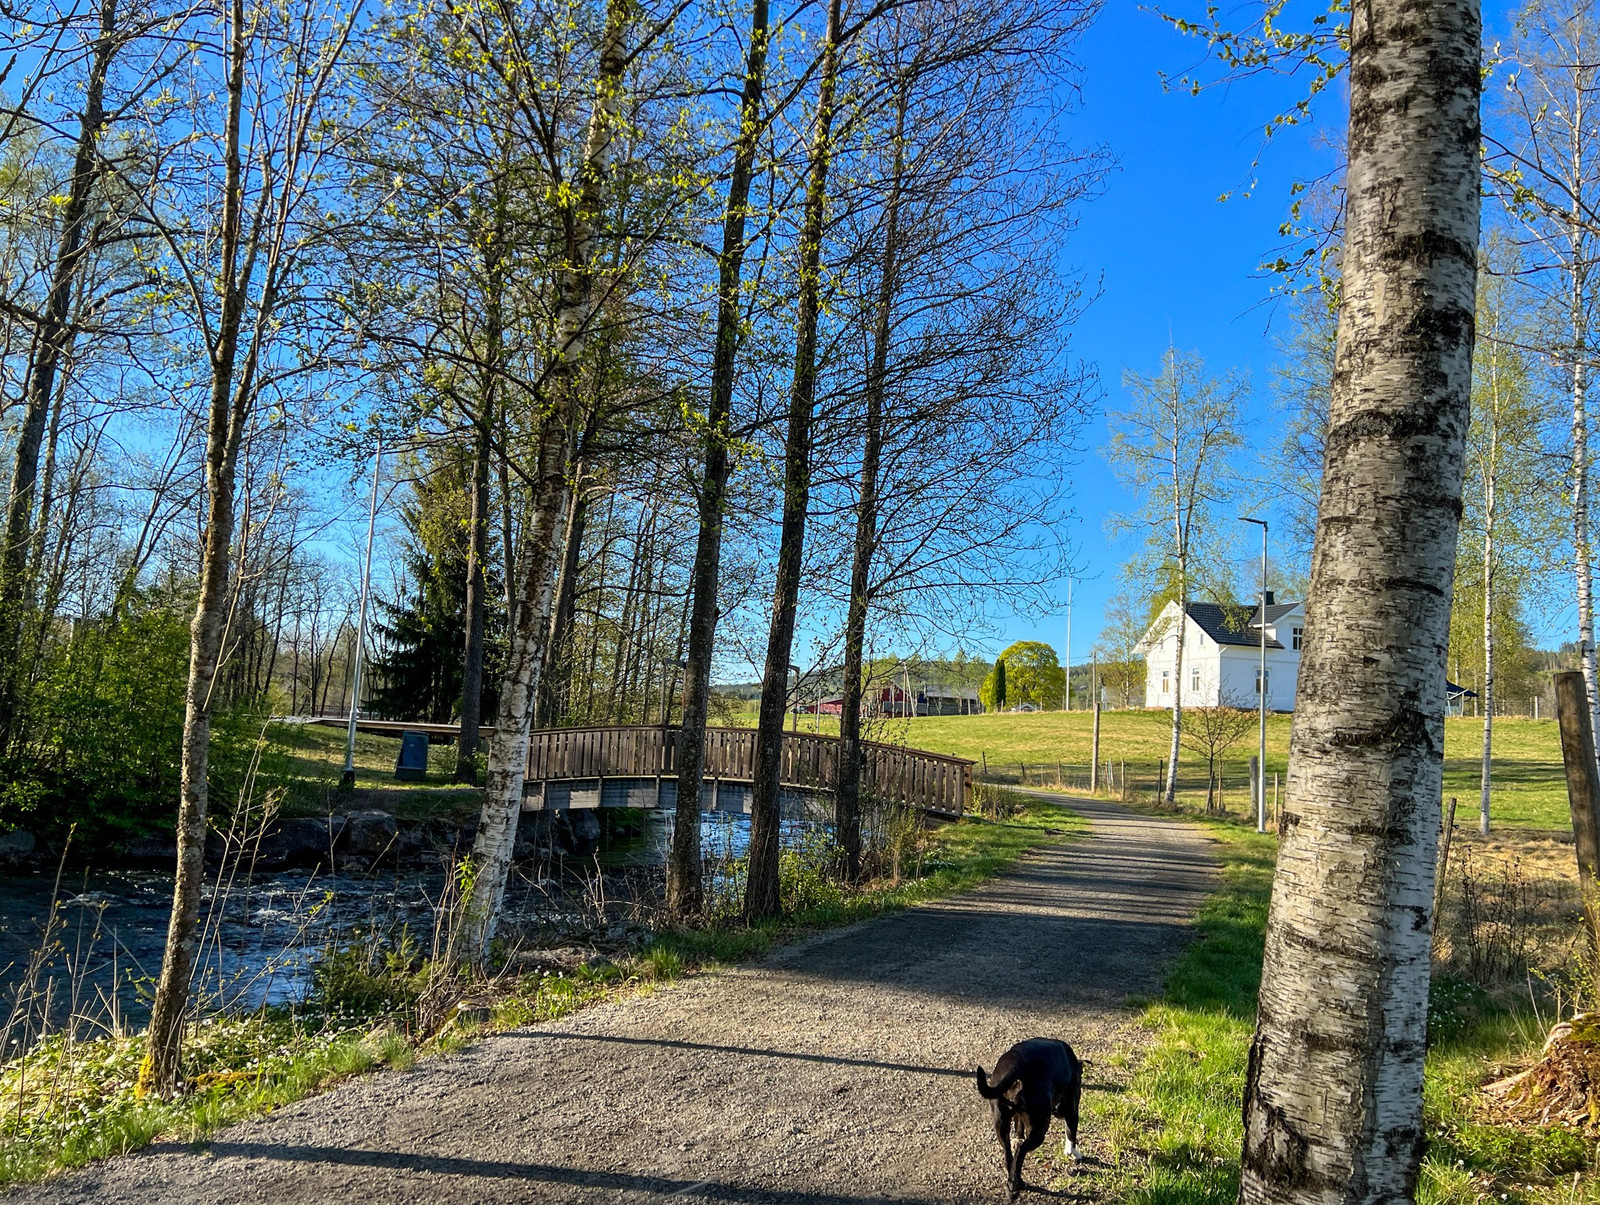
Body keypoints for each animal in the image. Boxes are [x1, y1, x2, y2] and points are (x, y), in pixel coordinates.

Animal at [966, 1036, 1081, 1196]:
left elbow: (1018, 1126)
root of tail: (1015, 1066)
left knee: (1009, 1155)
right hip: (1039, 1127)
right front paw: (1073, 1152)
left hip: (1001, 1125)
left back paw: (1015, 1180)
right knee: (1021, 1150)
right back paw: (1016, 1184)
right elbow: (1071, 1132)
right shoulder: (1072, 1108)